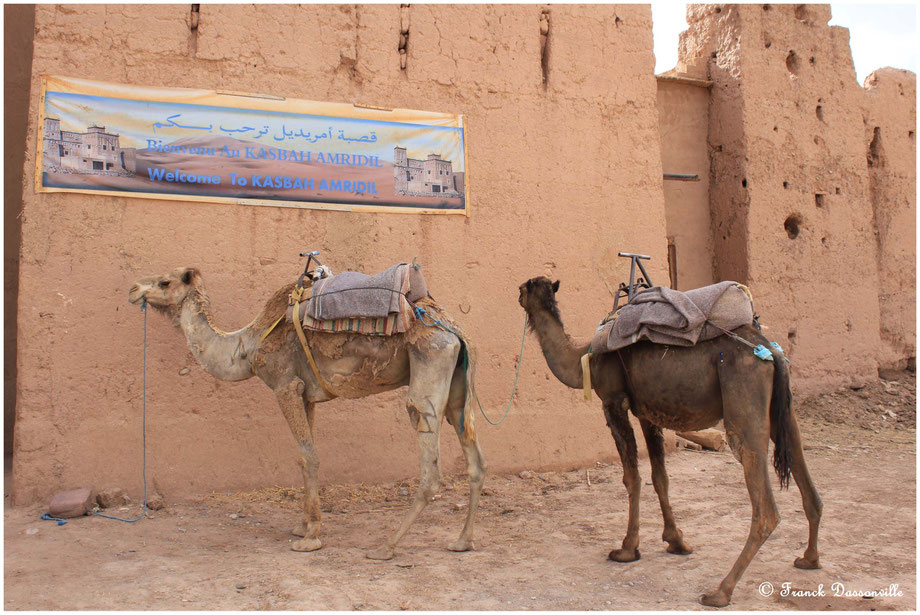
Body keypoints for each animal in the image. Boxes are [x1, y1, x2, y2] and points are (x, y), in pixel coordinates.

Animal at [131, 268, 488, 560]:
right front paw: (303, 526)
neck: (246, 347)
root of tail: (453, 328)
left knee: (429, 462)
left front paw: (311, 536)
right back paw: (463, 541)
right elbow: (304, 458)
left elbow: (309, 457)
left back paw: (386, 546)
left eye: (165, 281)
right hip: (457, 385)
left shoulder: (285, 386)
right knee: (474, 460)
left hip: (429, 359)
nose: (134, 289)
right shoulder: (306, 395)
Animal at [516, 276, 828, 608]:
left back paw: (720, 591)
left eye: (526, 287)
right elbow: (659, 476)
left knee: (765, 508)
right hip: (785, 411)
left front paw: (627, 549)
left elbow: (632, 477)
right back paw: (809, 559)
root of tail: (771, 353)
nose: (517, 294)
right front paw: (676, 540)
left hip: (744, 404)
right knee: (808, 483)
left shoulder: (613, 401)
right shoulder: (648, 411)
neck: (582, 356)